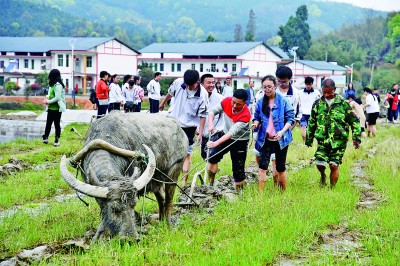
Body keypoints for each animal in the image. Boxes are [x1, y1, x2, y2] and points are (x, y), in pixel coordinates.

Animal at [60, 111, 188, 240]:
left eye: (133, 205)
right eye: (114, 208)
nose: (131, 238)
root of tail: (181, 130)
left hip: (174, 170)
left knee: (169, 200)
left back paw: (168, 224)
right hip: (156, 180)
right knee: (161, 198)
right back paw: (161, 221)